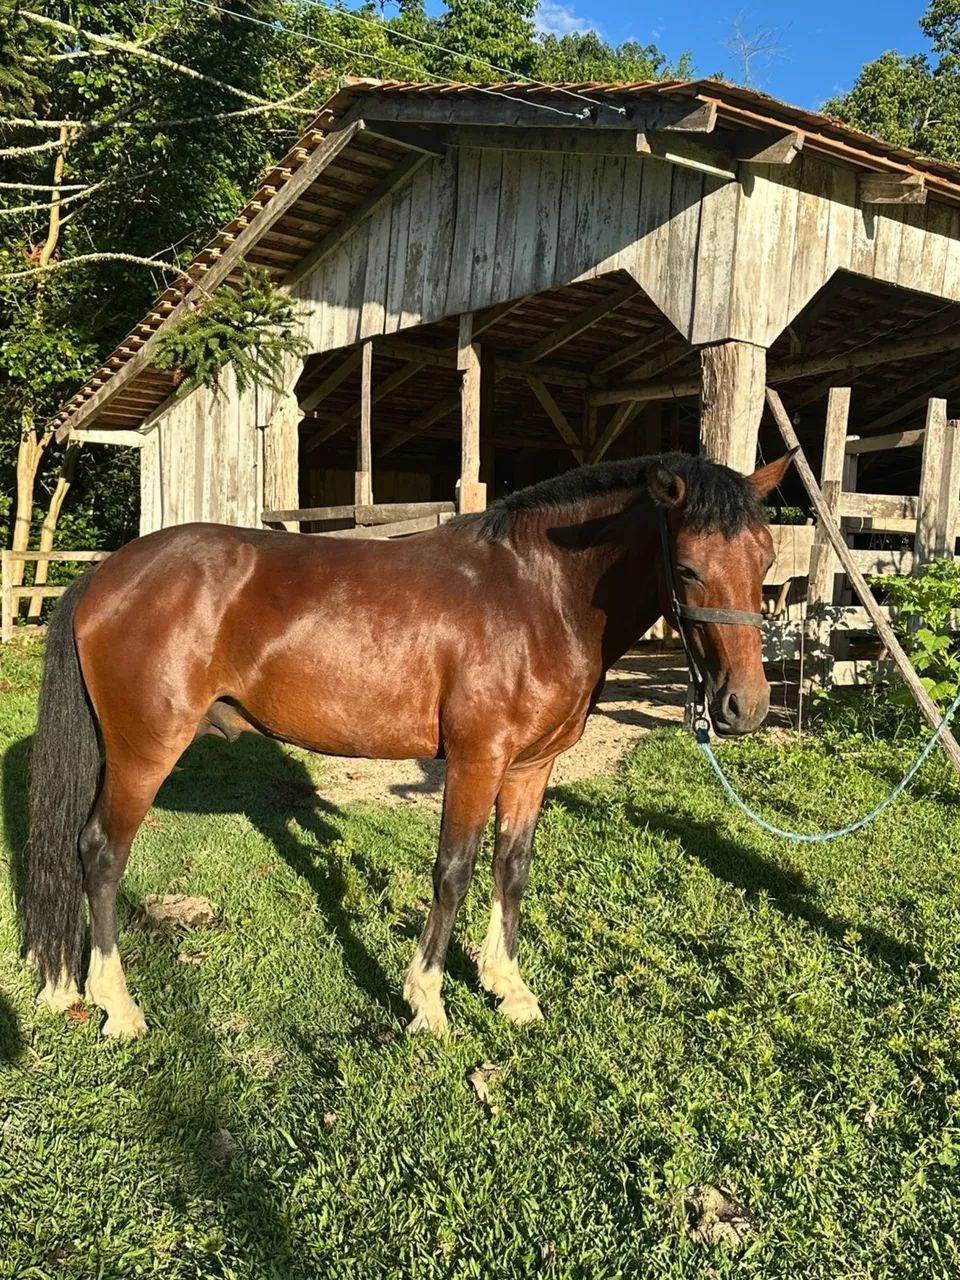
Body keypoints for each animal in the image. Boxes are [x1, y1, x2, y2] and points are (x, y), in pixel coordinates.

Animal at [23, 449, 792, 1038]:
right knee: (101, 854)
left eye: (766, 559)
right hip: (143, 754)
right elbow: (454, 870)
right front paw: (428, 1003)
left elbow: (512, 868)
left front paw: (508, 988)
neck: (537, 593)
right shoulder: (478, 760)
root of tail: (105, 573)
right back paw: (119, 1007)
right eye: (687, 567)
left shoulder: (531, 766)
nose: (746, 707)